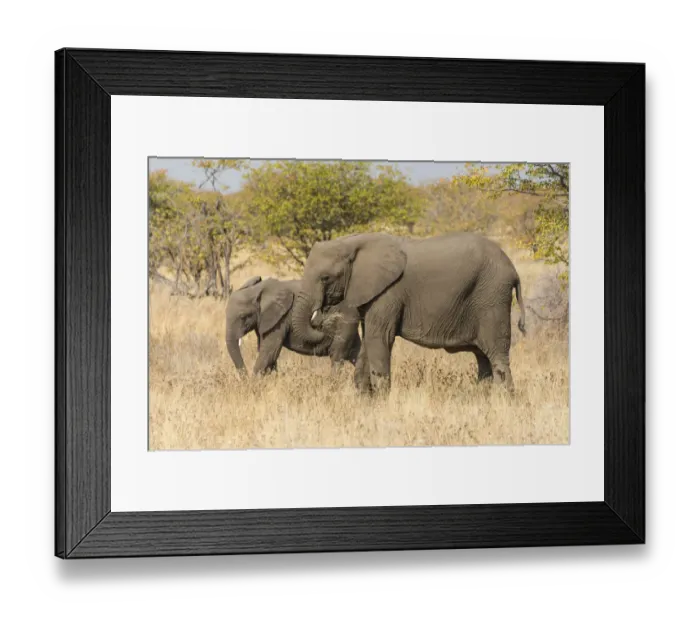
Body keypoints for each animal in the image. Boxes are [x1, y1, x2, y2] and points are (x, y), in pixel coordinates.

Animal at [225, 275, 362, 376]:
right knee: (356, 353)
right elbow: (268, 353)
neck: (257, 290)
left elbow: (269, 351)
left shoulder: (281, 318)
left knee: (337, 355)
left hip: (346, 320)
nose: (244, 377)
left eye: (243, 317)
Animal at [291, 231, 527, 395]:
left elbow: (379, 338)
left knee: (496, 354)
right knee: (483, 357)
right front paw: (365, 400)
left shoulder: (388, 293)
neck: (354, 243)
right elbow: (369, 340)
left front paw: (380, 402)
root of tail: (514, 271)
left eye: (325, 278)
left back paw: (504, 402)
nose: (322, 316)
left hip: (492, 298)